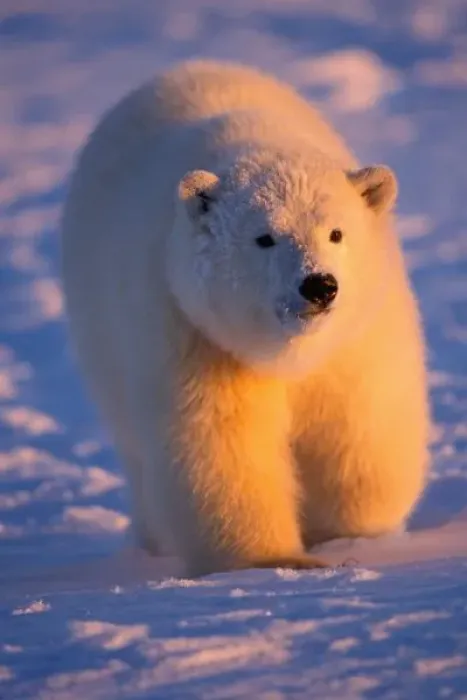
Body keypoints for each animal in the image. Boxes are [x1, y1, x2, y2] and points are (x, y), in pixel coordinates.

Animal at [61, 60, 430, 577]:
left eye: (336, 232)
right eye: (265, 238)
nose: (319, 285)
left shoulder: (354, 336)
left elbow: (356, 420)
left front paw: (350, 536)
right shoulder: (192, 329)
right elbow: (221, 440)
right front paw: (273, 559)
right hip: (99, 332)